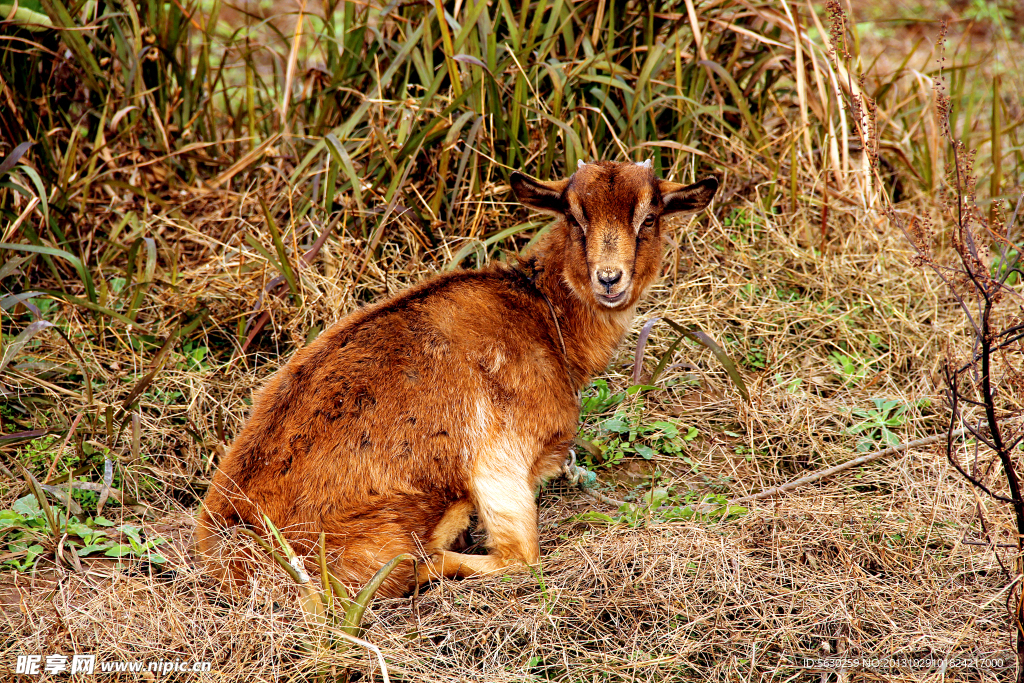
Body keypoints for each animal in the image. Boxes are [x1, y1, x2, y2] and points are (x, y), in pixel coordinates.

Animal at [195, 160, 716, 598]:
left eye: (650, 217)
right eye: (573, 216)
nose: (609, 279)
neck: (542, 313)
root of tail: (230, 549)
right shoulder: (500, 459)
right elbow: (520, 556)